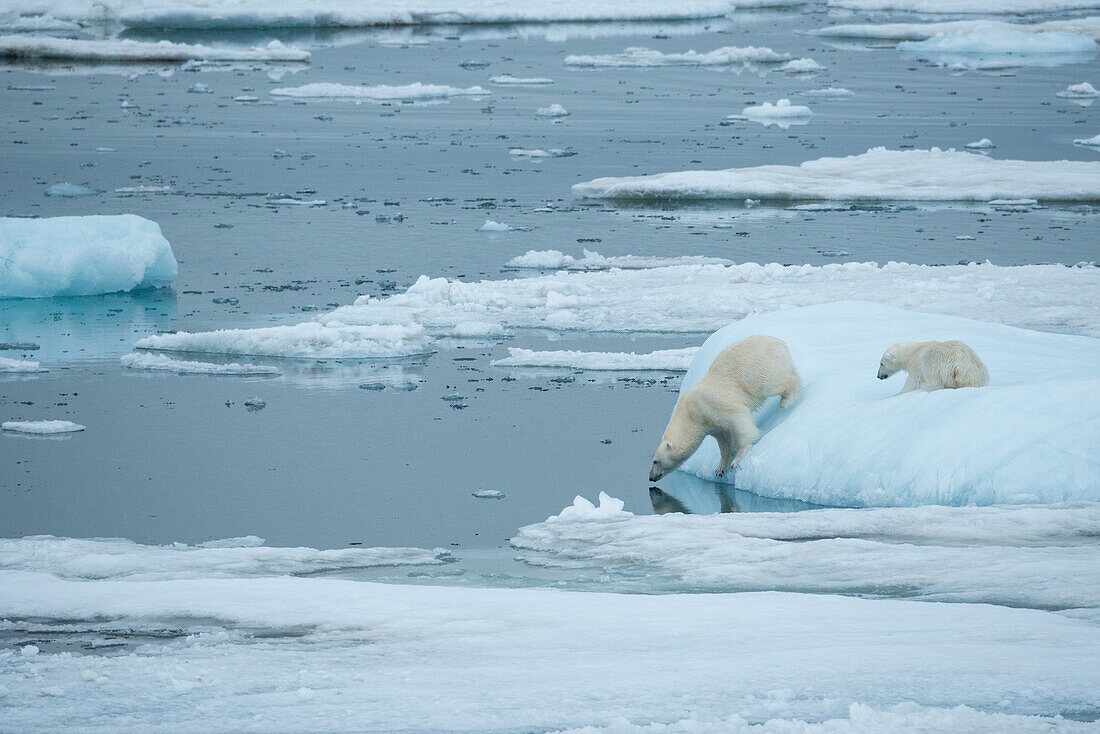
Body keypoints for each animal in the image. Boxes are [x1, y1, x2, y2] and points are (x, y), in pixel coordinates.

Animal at [642, 336, 800, 484]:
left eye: (655, 461)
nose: (650, 477)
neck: (691, 415)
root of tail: (779, 343)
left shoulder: (711, 404)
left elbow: (740, 420)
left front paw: (737, 459)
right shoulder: (712, 425)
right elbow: (724, 441)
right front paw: (720, 468)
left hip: (755, 368)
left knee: (772, 382)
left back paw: (787, 399)